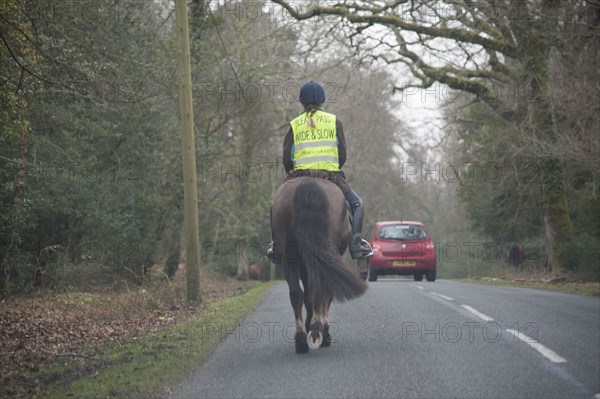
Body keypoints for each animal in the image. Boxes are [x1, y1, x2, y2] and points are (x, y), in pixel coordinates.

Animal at [270, 177, 366, 354]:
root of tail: (308, 183)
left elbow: (308, 294)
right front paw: (322, 330)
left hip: (290, 257)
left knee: (297, 294)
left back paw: (301, 339)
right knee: (321, 289)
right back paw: (317, 331)